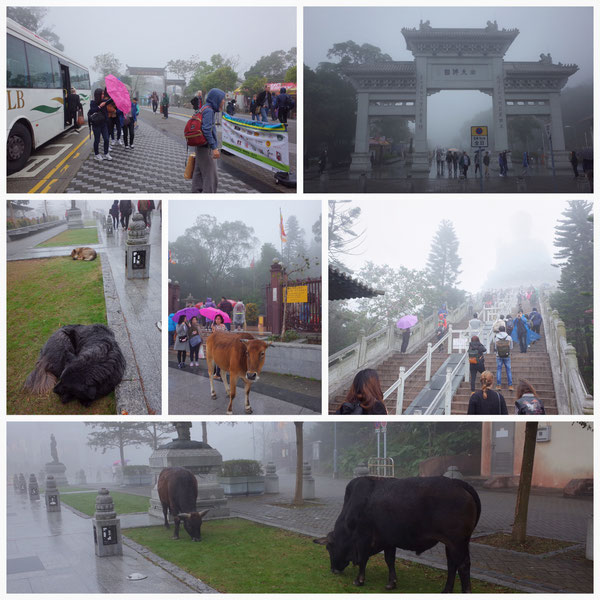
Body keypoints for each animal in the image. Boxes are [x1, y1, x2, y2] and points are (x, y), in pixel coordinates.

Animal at [314, 476, 478, 592]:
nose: (333, 569)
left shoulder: (363, 538)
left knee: (462, 565)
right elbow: (389, 560)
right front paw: (391, 583)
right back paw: (446, 590)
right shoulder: (388, 540)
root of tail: (457, 483)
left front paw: (359, 580)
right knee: (452, 564)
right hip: (454, 543)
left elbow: (363, 559)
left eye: (329, 548)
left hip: (456, 541)